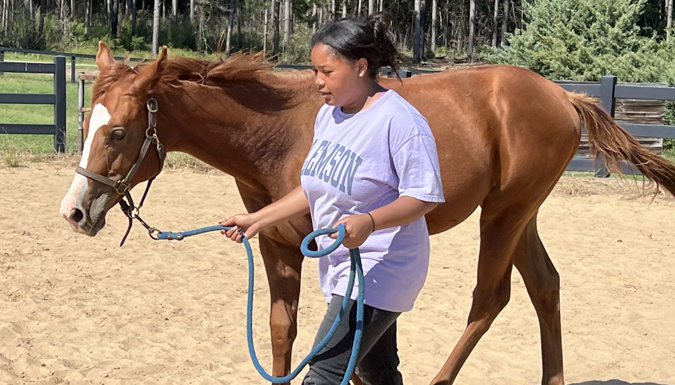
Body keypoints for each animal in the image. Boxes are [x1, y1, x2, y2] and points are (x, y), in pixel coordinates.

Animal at [60, 42, 675, 384]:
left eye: (119, 131)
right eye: (87, 119)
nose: (74, 212)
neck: (274, 137)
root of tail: (564, 95)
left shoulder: (329, 248)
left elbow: (345, 349)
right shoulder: (277, 245)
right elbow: (283, 333)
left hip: (503, 216)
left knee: (490, 298)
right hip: (521, 215)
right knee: (545, 287)